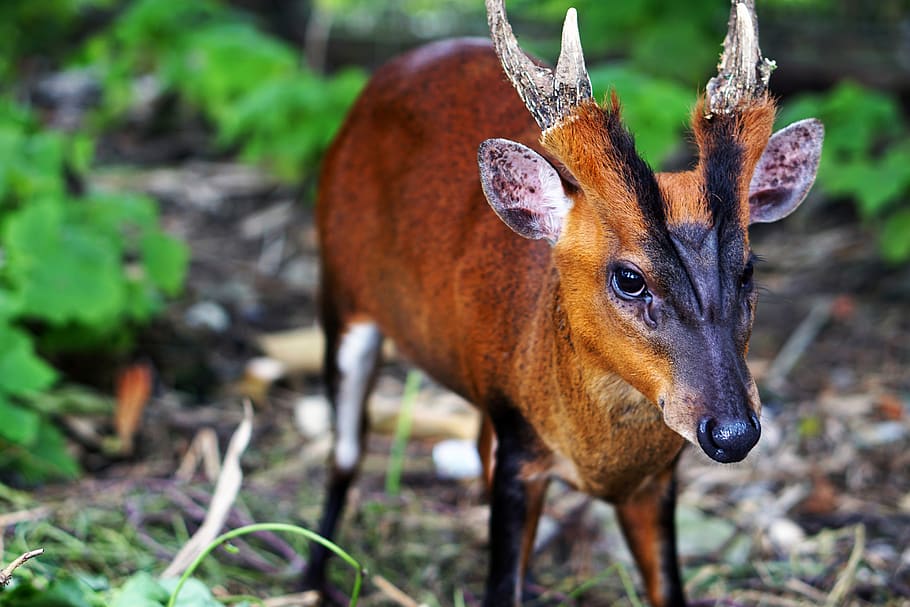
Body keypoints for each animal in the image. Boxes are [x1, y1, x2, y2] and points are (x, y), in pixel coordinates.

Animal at [304, 0, 824, 605]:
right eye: (629, 278)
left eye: (747, 269)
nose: (734, 433)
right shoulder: (518, 448)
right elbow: (499, 586)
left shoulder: (656, 479)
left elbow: (668, 589)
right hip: (340, 290)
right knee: (344, 450)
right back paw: (312, 579)